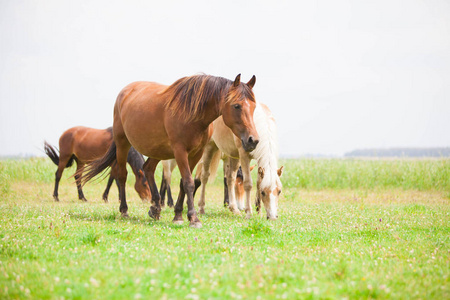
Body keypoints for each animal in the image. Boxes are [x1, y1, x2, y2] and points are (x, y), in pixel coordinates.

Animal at [79, 73, 258, 227]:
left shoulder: (196, 153)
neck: (193, 114)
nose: (253, 140)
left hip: (158, 149)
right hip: (123, 143)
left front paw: (178, 215)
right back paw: (124, 210)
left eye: (254, 107)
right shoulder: (180, 151)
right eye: (236, 106)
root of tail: (125, 92)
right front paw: (193, 218)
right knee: (122, 175)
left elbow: (182, 183)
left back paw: (155, 208)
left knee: (148, 169)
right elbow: (188, 182)